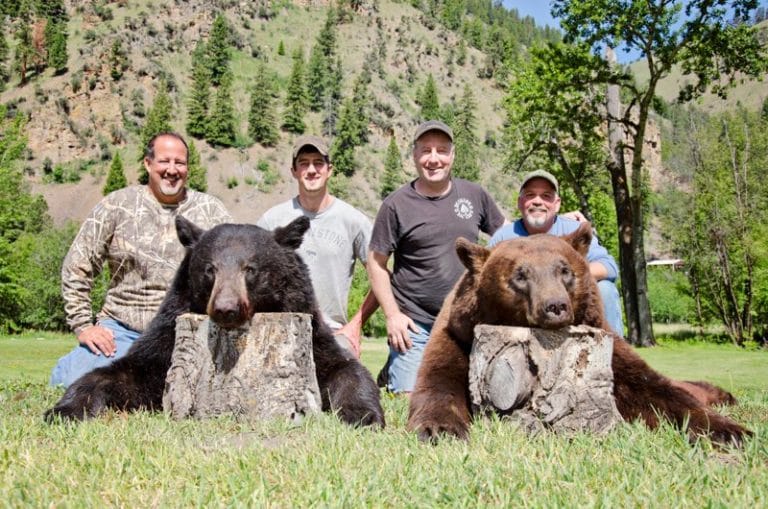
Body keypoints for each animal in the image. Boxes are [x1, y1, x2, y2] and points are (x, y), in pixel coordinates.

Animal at [45, 216, 385, 428]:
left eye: (250, 268)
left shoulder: (311, 334)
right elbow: (120, 375)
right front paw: (63, 409)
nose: (226, 308)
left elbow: (346, 370)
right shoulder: (166, 342)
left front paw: (364, 415)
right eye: (210, 269)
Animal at [407, 223, 749, 445]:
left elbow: (652, 389)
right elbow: (438, 382)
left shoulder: (605, 342)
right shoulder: (458, 336)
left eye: (565, 270)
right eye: (520, 275)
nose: (555, 306)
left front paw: (730, 430)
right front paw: (440, 429)